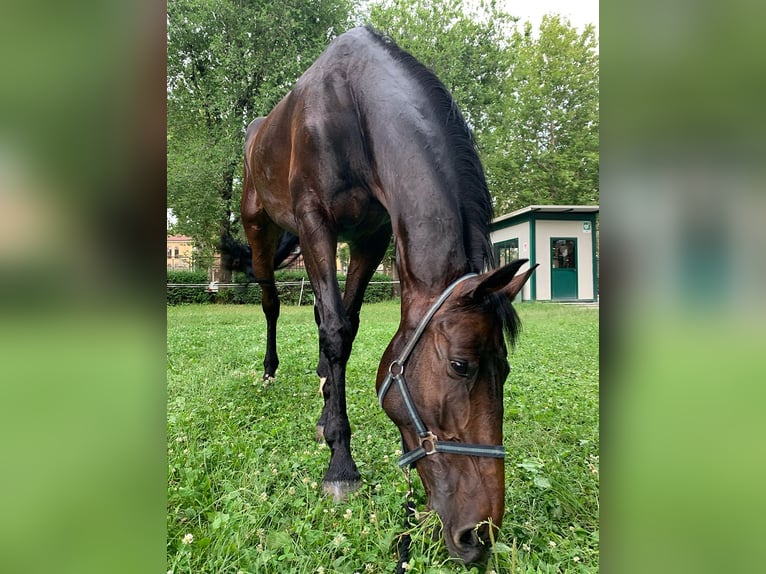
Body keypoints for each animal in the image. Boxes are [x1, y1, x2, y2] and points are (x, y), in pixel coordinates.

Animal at [238, 26, 536, 565]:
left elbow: (345, 324)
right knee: (273, 302)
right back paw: (271, 372)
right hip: (260, 228)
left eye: (505, 369)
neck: (352, 109)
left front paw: (330, 420)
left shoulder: (370, 236)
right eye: (460, 365)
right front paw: (341, 466)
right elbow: (338, 332)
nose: (479, 536)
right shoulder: (316, 223)